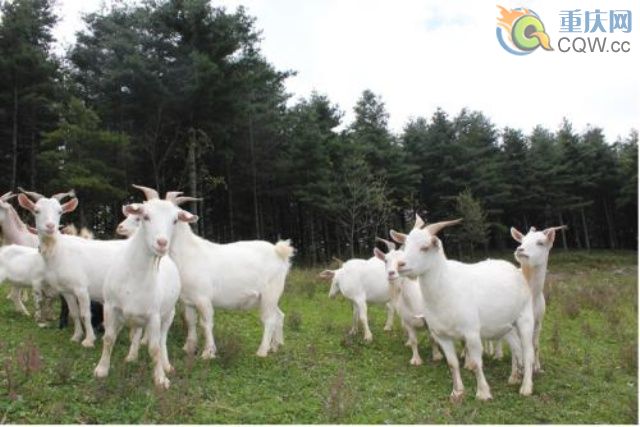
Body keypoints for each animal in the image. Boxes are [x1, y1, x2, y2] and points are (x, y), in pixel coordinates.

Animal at [17, 188, 127, 347]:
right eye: (36, 210)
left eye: (60, 211)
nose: (50, 226)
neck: (59, 250)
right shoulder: (66, 291)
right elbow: (74, 313)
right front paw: (76, 336)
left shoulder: (81, 288)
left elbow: (85, 314)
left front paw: (89, 340)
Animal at [94, 199, 195, 389]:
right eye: (144, 217)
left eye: (175, 220)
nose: (162, 243)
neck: (134, 277)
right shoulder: (110, 307)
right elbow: (109, 338)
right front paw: (101, 369)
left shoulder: (154, 315)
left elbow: (154, 348)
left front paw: (160, 378)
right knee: (137, 332)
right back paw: (132, 356)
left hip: (168, 314)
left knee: (162, 340)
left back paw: (166, 364)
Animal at [131, 185, 294, 358]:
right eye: (145, 216)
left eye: (175, 219)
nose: (161, 242)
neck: (187, 254)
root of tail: (279, 251)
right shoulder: (188, 301)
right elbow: (190, 321)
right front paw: (189, 347)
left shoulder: (203, 298)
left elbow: (206, 323)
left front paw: (208, 352)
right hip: (270, 297)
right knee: (279, 315)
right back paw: (276, 346)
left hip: (270, 292)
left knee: (269, 319)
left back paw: (262, 351)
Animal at [392, 214, 535, 400]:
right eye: (405, 245)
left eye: (424, 247)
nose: (400, 265)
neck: (445, 288)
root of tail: (513, 269)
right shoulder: (442, 335)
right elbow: (452, 364)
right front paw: (457, 392)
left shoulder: (471, 332)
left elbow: (476, 363)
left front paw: (483, 393)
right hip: (506, 325)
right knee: (516, 347)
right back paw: (514, 377)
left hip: (525, 317)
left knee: (527, 351)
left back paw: (526, 387)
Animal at [511, 225, 566, 374]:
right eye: (522, 240)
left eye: (540, 243)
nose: (520, 249)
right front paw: (519, 368)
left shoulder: (538, 321)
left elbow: (534, 344)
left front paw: (536, 366)